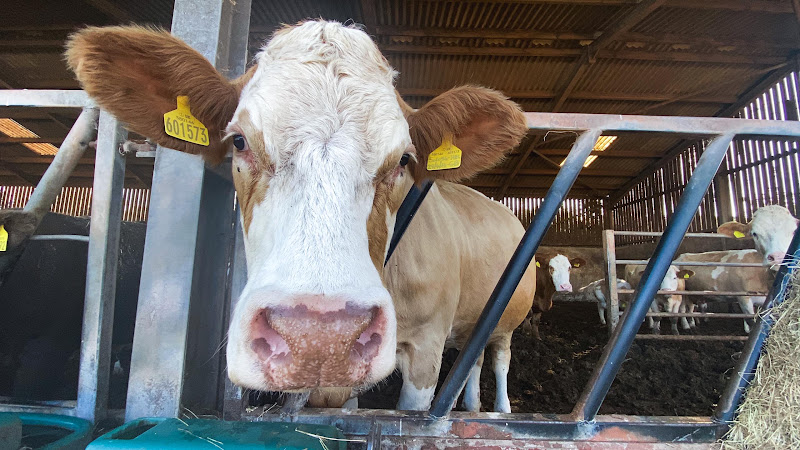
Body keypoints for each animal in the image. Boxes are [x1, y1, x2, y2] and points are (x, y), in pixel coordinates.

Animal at [66, 21, 536, 413]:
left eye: (404, 158)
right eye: (239, 141)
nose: (319, 339)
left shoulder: (426, 349)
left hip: (506, 321)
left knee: (498, 358)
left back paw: (500, 409)